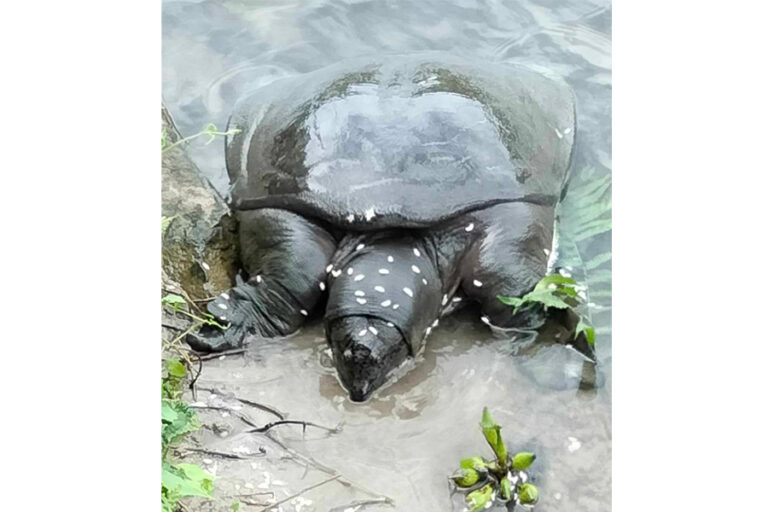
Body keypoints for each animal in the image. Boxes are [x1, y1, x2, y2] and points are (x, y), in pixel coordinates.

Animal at [187, 54, 576, 402]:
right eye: (340, 343)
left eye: (392, 347)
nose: (359, 378)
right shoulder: (279, 203)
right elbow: (295, 277)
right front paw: (223, 328)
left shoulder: (510, 215)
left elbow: (512, 292)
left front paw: (560, 355)